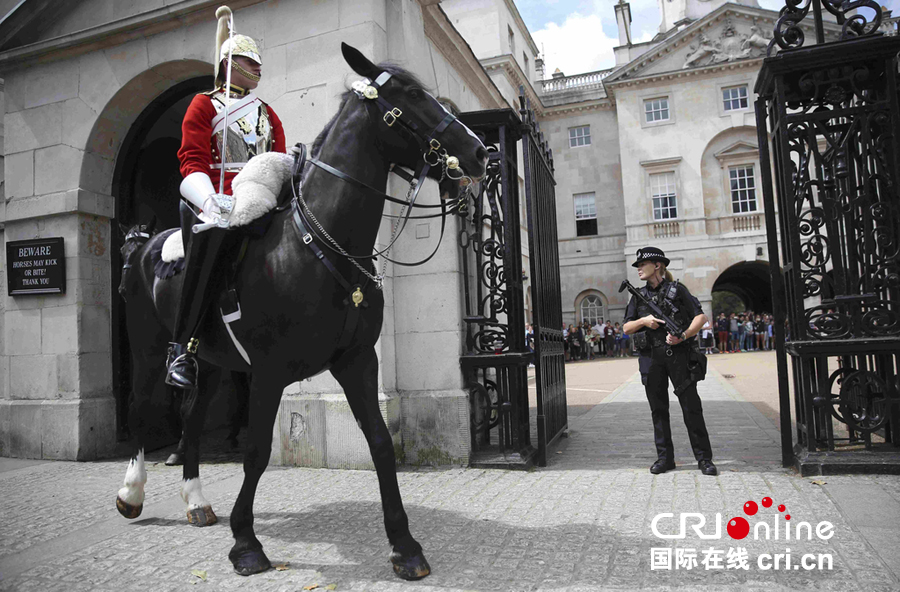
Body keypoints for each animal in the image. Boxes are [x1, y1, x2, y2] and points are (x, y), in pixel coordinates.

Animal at [118, 45, 488, 580]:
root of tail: (145, 244)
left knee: (191, 415)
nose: (481, 152)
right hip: (149, 350)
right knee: (144, 408)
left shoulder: (357, 361)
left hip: (210, 360)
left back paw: (195, 501)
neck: (321, 244)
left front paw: (404, 545)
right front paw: (246, 542)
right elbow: (256, 451)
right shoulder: (269, 373)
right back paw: (130, 492)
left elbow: (380, 442)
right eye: (413, 95)